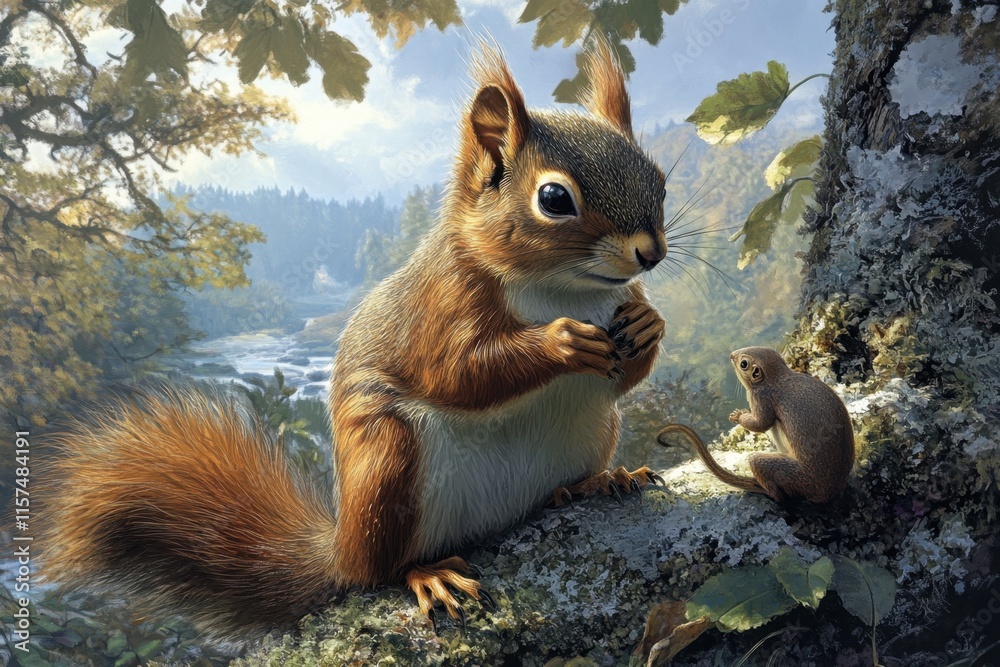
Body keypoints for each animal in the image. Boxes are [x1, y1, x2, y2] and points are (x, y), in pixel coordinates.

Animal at [39, 40, 670, 638]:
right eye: (554, 199)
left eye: (660, 182)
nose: (651, 253)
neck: (564, 288)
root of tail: (341, 549)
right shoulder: (441, 302)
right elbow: (457, 373)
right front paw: (561, 342)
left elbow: (628, 372)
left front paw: (649, 325)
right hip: (389, 463)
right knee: (379, 571)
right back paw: (427, 573)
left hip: (592, 430)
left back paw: (598, 481)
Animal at [657, 347, 855, 503]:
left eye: (743, 363)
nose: (731, 354)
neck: (778, 378)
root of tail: (827, 492)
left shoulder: (760, 398)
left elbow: (761, 424)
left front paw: (738, 415)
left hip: (768, 465)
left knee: (778, 494)